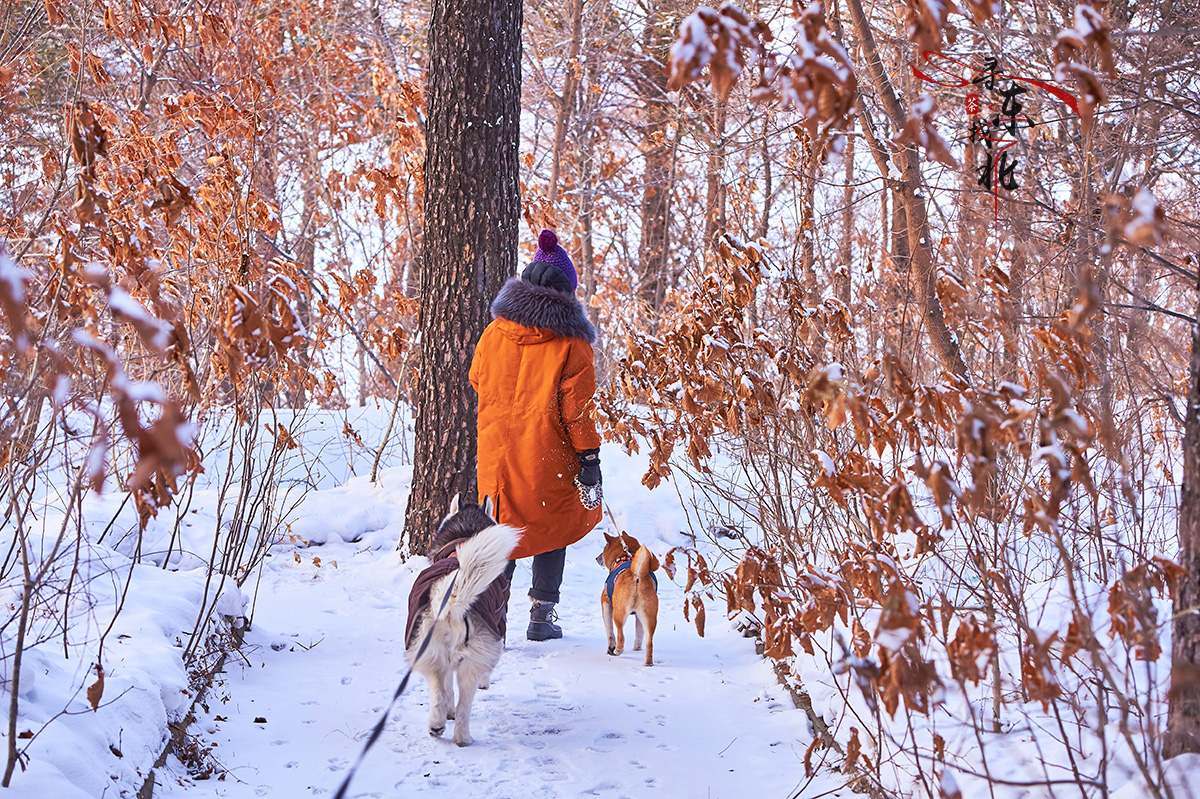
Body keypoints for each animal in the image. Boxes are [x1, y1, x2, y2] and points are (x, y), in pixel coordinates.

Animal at [405, 494, 518, 743]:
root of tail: (451, 602)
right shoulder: (499, 624)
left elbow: (447, 687)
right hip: (475, 656)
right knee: (465, 703)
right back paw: (463, 738)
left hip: (429, 649)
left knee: (439, 688)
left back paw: (437, 724)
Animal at [597, 527, 662, 667]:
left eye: (604, 549)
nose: (596, 558)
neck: (624, 556)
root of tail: (637, 575)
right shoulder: (639, 616)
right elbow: (639, 635)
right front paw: (636, 649)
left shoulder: (606, 602)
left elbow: (610, 632)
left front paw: (610, 648)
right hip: (649, 616)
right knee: (649, 642)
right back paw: (647, 663)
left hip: (619, 613)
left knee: (621, 636)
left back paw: (617, 650)